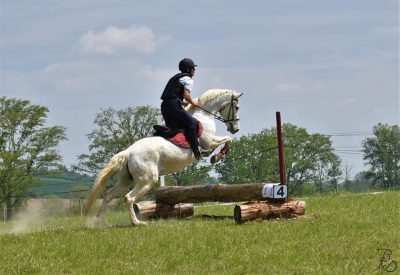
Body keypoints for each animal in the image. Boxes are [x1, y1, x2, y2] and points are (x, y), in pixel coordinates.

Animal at [83, 89, 242, 226]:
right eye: (237, 107)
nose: (235, 129)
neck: (204, 115)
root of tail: (128, 152)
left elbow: (227, 140)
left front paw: (216, 156)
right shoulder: (209, 142)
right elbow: (227, 139)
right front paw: (217, 156)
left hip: (126, 180)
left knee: (109, 195)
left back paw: (100, 222)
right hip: (147, 180)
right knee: (129, 198)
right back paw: (137, 223)